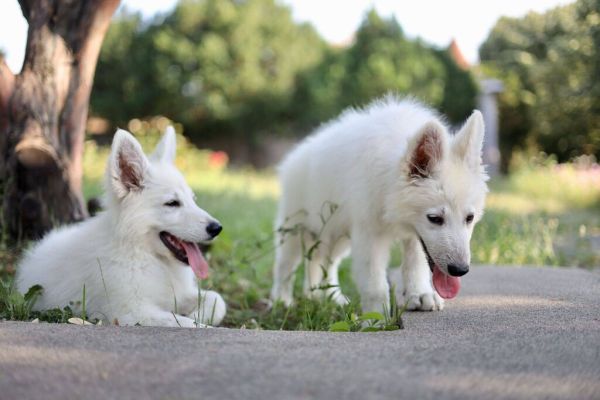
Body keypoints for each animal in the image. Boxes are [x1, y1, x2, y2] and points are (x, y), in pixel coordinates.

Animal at [17, 128, 227, 328]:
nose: (217, 228)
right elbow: (190, 324)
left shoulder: (177, 295)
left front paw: (198, 313)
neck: (141, 254)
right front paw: (200, 321)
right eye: (172, 203)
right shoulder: (132, 313)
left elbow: (217, 299)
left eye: (193, 199)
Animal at [270, 95, 488, 314]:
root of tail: (295, 156)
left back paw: (327, 297)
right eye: (435, 218)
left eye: (469, 218)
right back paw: (281, 300)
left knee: (325, 263)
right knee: (285, 266)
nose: (460, 270)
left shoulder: (415, 236)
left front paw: (419, 294)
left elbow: (415, 264)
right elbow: (374, 283)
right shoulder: (369, 235)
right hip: (295, 231)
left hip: (337, 235)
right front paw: (376, 316)